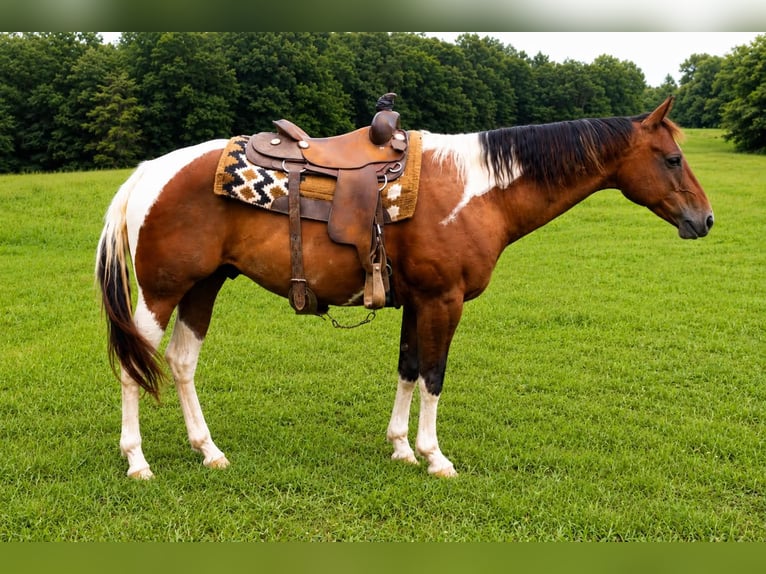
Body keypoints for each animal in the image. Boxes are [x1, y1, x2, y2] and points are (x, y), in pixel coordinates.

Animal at [96, 96, 713, 479]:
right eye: (672, 158)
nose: (704, 220)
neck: (478, 189)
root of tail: (147, 173)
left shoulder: (418, 301)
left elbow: (409, 369)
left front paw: (399, 447)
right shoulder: (444, 300)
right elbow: (434, 377)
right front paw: (434, 456)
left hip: (202, 287)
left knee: (180, 362)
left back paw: (210, 451)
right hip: (160, 293)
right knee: (131, 366)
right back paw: (137, 461)